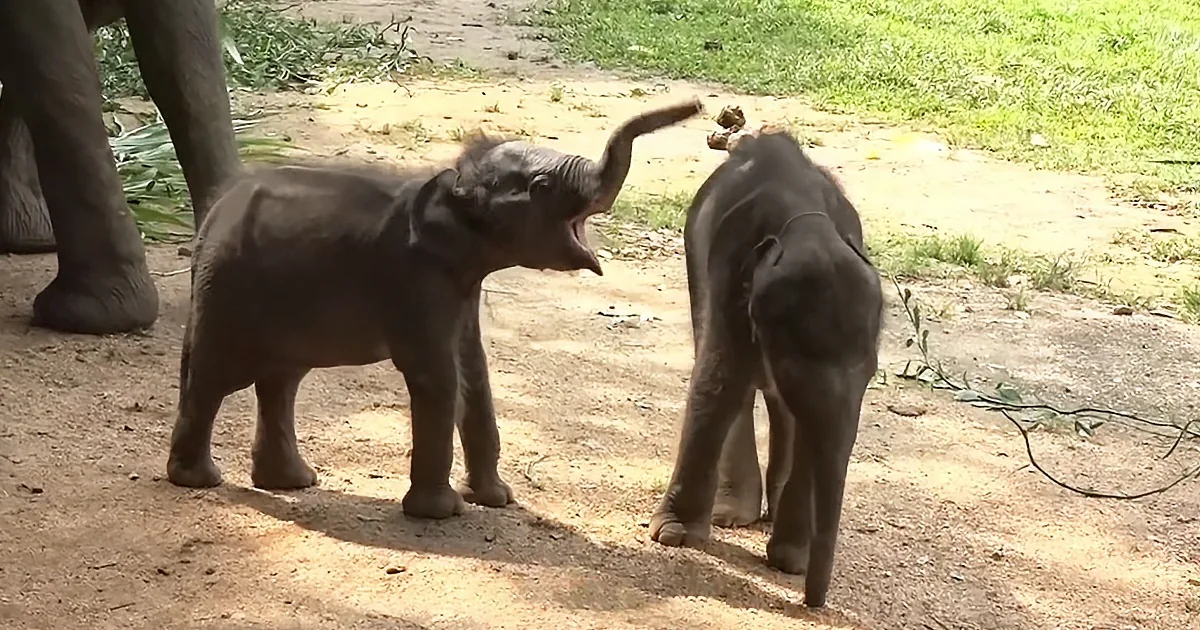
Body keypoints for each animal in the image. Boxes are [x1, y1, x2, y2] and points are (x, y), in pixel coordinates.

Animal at [164, 98, 705, 520]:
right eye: (542, 187)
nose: (698, 106)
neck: (452, 185)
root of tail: (211, 215)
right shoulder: (417, 281)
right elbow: (439, 376)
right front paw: (443, 512)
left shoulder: (460, 290)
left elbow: (475, 373)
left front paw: (497, 500)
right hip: (227, 290)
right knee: (215, 378)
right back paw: (199, 480)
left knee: (281, 380)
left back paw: (293, 482)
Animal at [647, 130, 883, 608]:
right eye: (793, 369)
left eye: (871, 372)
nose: (812, 602)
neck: (808, 227)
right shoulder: (729, 269)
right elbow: (719, 378)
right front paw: (673, 536)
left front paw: (791, 561)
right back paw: (731, 514)